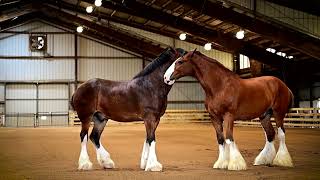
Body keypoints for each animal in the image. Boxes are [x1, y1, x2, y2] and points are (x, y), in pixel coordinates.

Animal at [164, 50, 294, 170]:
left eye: (180, 62)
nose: (165, 78)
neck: (220, 86)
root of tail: (283, 85)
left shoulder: (229, 116)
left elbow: (229, 137)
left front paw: (235, 164)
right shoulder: (214, 117)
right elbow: (221, 139)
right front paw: (221, 163)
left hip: (278, 113)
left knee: (281, 133)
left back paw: (282, 161)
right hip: (264, 115)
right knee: (270, 134)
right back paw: (263, 160)